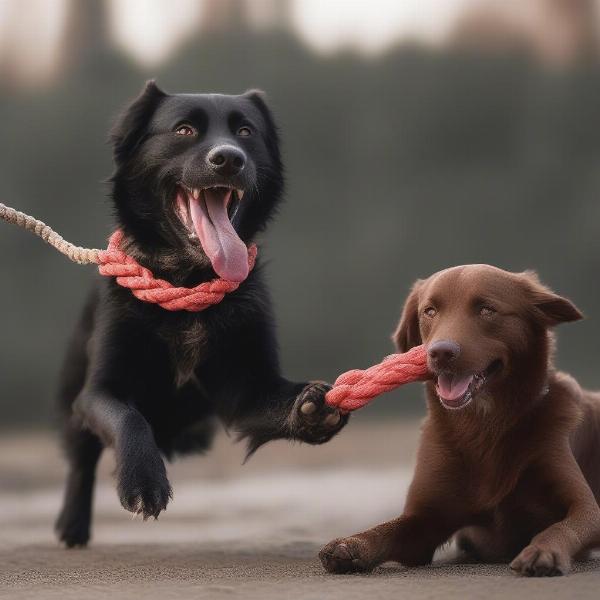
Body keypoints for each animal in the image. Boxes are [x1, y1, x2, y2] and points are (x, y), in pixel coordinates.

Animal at [56, 82, 350, 548]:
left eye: (246, 132)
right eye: (184, 130)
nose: (229, 159)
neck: (188, 280)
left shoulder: (245, 389)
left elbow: (277, 400)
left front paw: (313, 408)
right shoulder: (98, 391)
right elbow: (128, 418)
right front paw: (144, 483)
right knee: (80, 457)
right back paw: (72, 525)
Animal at [322, 264, 600, 576]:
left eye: (487, 310)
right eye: (430, 311)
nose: (441, 352)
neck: (481, 428)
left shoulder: (584, 505)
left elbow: (563, 527)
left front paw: (544, 551)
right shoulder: (424, 520)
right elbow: (385, 530)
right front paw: (350, 544)